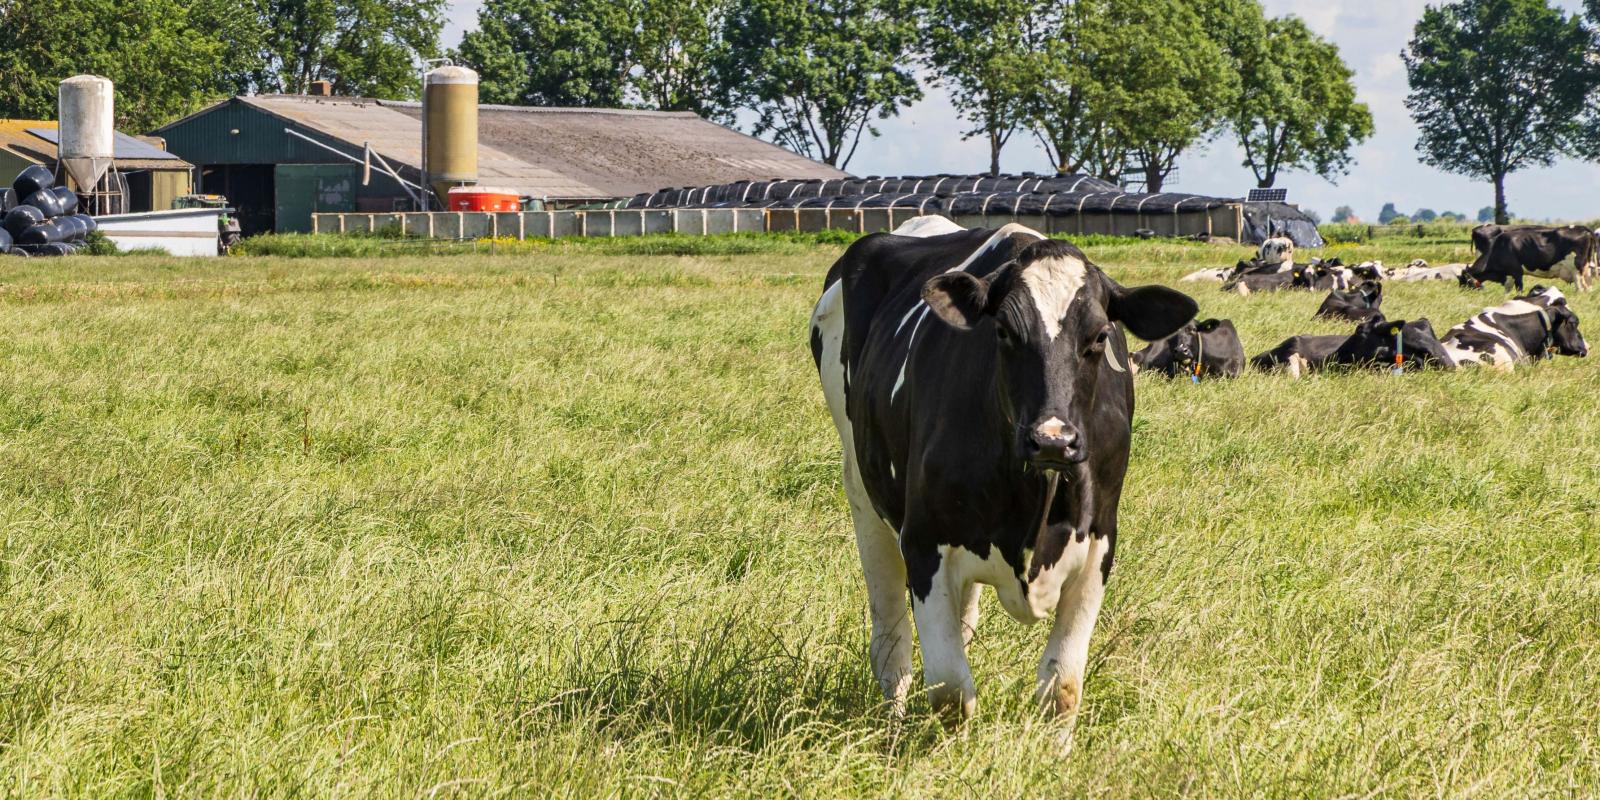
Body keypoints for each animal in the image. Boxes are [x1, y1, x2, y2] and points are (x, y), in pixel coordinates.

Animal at [810, 219, 1197, 720]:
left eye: (1098, 336)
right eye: (1005, 332)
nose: (1053, 439)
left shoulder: (1099, 545)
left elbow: (1062, 688)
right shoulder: (923, 540)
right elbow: (952, 692)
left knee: (962, 620)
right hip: (862, 489)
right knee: (891, 643)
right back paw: (892, 721)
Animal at [1463, 225, 1597, 291]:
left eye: (1464, 281)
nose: (1463, 294)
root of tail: (1583, 229)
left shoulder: (1517, 272)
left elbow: (1519, 289)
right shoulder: (1509, 274)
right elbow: (1507, 289)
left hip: (1576, 270)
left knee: (1580, 289)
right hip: (1586, 270)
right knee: (1589, 288)